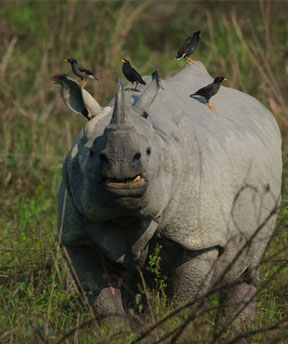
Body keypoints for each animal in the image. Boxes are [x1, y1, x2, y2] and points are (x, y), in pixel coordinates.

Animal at [54, 62, 282, 326]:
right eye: (92, 154)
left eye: (147, 152)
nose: (121, 167)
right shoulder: (75, 236)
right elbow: (101, 298)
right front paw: (118, 332)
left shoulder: (198, 237)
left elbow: (185, 295)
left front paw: (177, 327)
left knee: (247, 268)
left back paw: (236, 329)